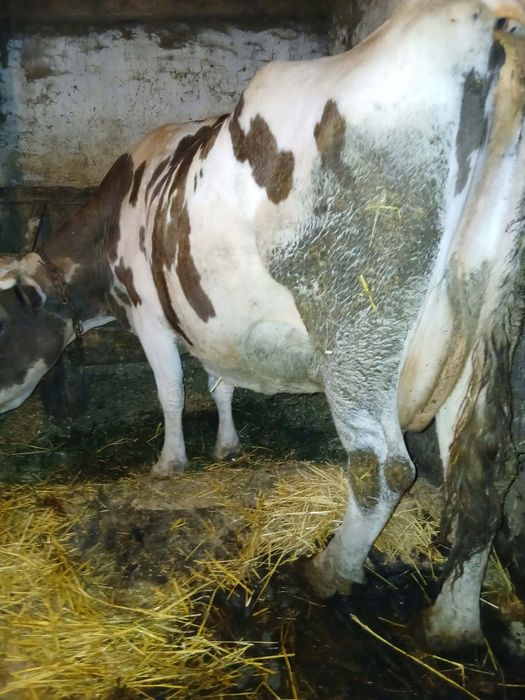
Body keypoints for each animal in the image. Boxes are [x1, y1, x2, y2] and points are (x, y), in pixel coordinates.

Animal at [1, 0, 524, 650]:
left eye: (0, 323)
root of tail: (488, 21)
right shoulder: (210, 322)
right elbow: (220, 383)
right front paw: (227, 446)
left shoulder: (150, 314)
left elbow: (171, 393)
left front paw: (170, 462)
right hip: (476, 334)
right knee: (479, 473)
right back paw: (452, 622)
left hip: (357, 324)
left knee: (382, 467)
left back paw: (329, 570)